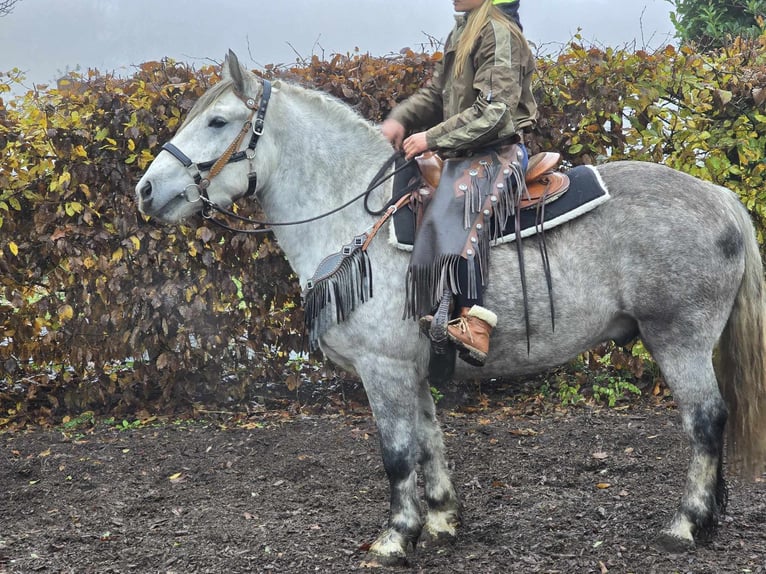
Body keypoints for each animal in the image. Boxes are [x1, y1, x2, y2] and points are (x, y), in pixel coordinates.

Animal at [138, 53, 766, 568]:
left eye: (218, 121)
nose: (147, 190)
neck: (353, 217)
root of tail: (721, 197)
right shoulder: (412, 367)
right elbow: (428, 440)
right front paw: (440, 522)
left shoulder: (383, 368)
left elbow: (396, 454)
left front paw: (395, 537)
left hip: (679, 339)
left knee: (706, 421)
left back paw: (685, 524)